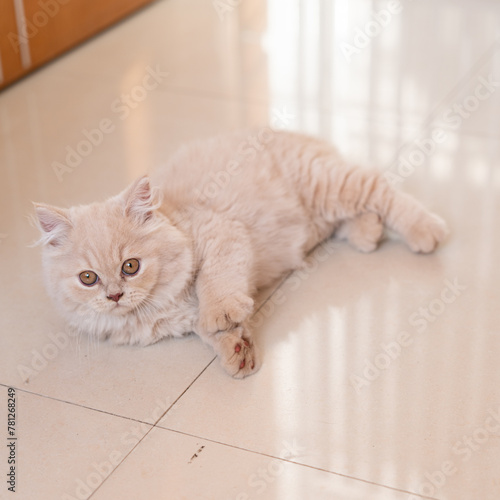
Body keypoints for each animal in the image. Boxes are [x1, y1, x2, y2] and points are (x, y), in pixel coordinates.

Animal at [35, 131, 450, 376]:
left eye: (130, 266)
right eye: (88, 278)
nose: (115, 296)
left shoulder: (220, 233)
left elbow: (214, 289)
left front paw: (223, 316)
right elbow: (209, 331)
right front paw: (237, 351)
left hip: (329, 185)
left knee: (382, 189)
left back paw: (425, 231)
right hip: (325, 207)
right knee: (355, 215)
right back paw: (368, 231)